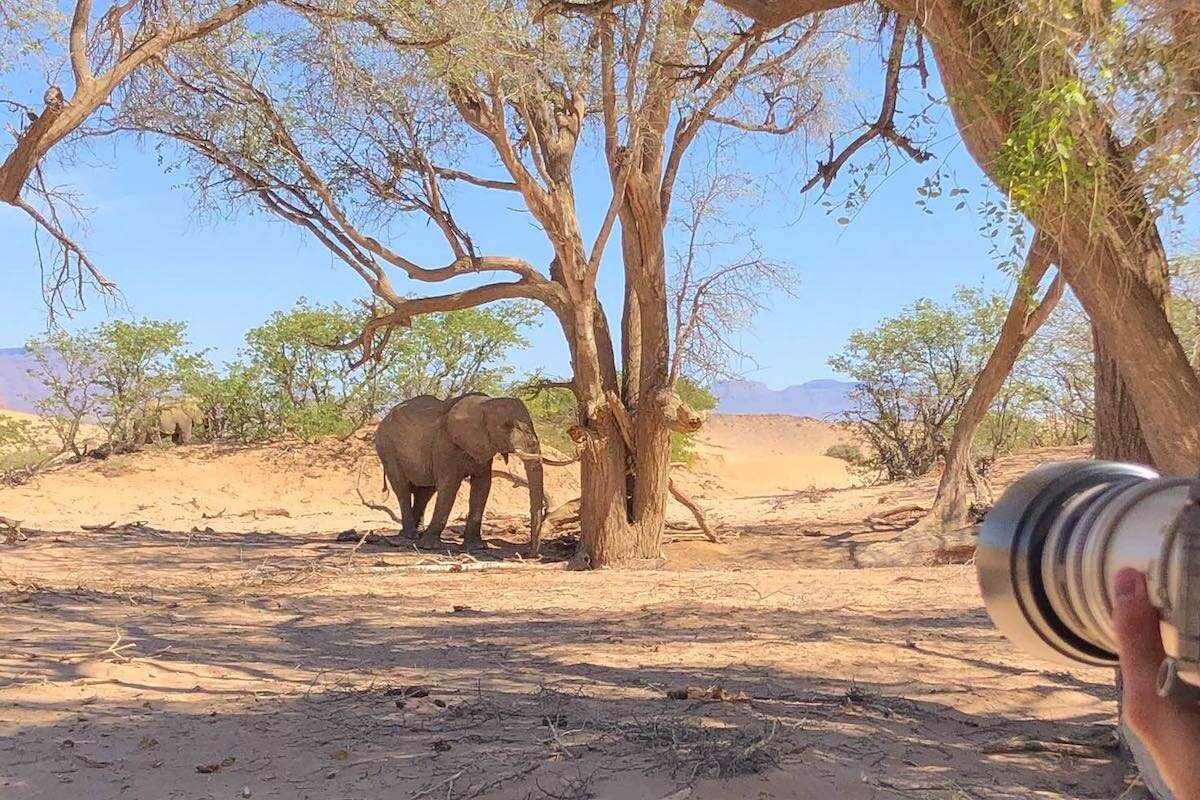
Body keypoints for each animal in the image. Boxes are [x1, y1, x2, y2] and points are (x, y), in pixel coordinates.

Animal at [374, 393, 549, 554]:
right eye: (506, 426)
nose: (529, 554)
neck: (484, 404)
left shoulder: (482, 448)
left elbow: (482, 486)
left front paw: (476, 547)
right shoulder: (445, 443)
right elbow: (449, 485)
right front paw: (429, 547)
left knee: (425, 491)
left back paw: (417, 533)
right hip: (387, 448)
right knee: (402, 488)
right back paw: (410, 535)